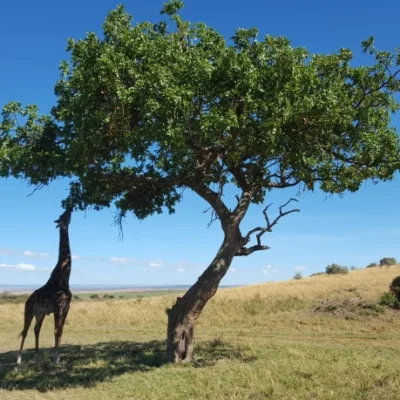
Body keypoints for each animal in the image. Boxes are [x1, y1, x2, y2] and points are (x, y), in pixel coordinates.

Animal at [16, 209, 73, 366]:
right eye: (63, 216)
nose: (69, 209)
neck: (64, 276)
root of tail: (27, 300)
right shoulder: (58, 306)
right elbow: (56, 331)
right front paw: (56, 359)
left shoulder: (67, 307)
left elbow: (61, 331)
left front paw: (58, 357)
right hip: (28, 311)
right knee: (25, 331)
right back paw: (19, 359)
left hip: (40, 313)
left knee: (36, 329)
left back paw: (37, 354)